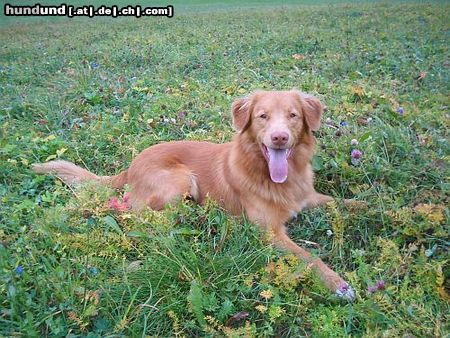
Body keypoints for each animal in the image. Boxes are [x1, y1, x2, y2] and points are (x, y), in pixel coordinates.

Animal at [32, 89, 356, 298]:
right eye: (263, 116)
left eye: (293, 115)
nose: (279, 137)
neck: (274, 177)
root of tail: (131, 164)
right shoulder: (269, 233)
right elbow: (308, 257)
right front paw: (338, 285)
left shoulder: (309, 198)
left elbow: (349, 203)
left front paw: (369, 208)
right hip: (181, 181)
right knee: (141, 219)